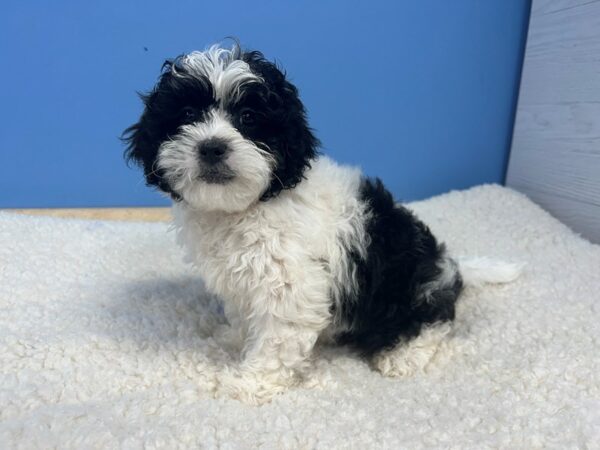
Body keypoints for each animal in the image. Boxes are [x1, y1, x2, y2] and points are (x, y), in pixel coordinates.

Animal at [123, 43, 520, 404]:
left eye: (249, 118)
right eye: (188, 113)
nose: (212, 146)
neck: (248, 206)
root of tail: (450, 267)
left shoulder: (290, 284)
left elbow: (276, 340)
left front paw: (249, 382)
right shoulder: (243, 282)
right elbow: (245, 316)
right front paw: (235, 339)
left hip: (411, 286)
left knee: (435, 321)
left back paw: (403, 355)